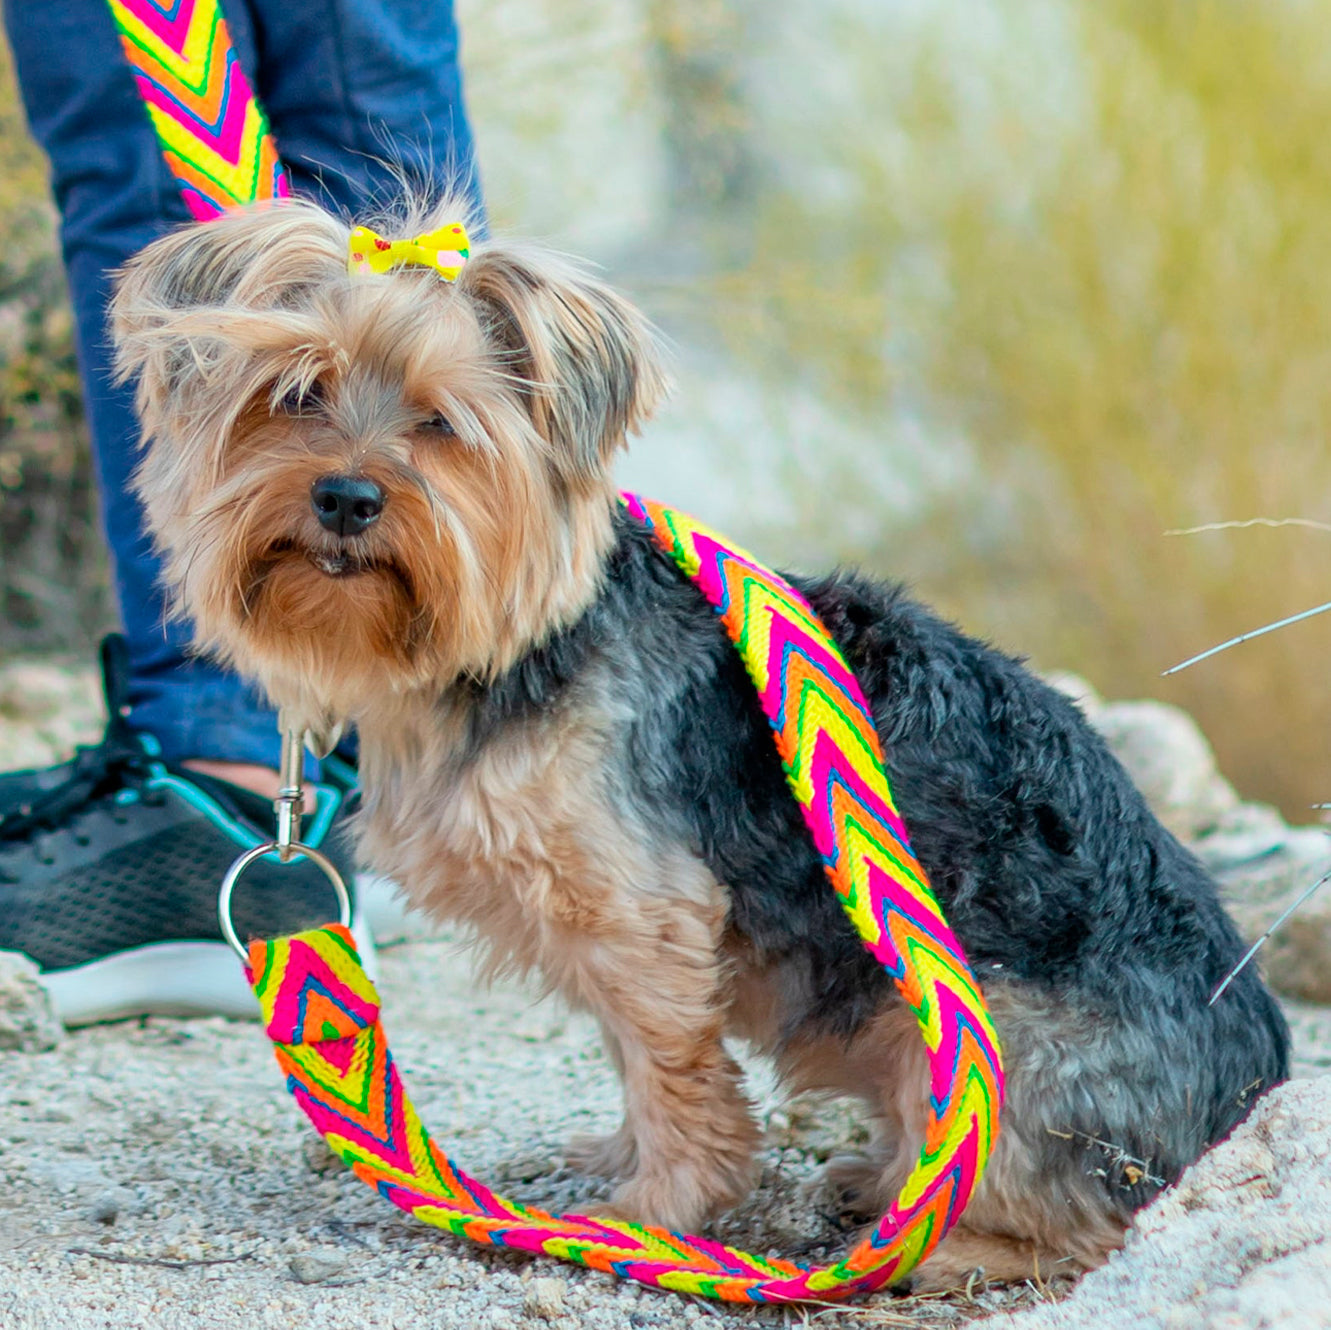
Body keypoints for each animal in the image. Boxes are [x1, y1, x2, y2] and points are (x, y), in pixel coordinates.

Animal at [111, 197, 1288, 1288]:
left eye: (441, 424)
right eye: (292, 395)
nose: (347, 496)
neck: (506, 648)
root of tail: (1252, 1084)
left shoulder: (644, 909)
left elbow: (665, 1062)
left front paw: (653, 1213)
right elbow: (630, 1051)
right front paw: (619, 1162)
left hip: (986, 1042)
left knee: (1093, 1216)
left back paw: (941, 1244)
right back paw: (880, 1180)